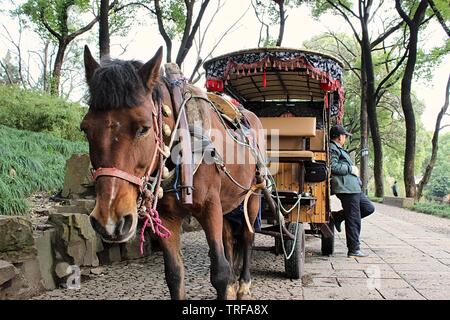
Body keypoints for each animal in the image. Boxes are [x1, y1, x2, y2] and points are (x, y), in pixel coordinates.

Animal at [81, 45, 266, 300]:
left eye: (144, 128)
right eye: (85, 129)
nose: (110, 221)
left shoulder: (210, 206)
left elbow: (219, 272)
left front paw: (229, 282)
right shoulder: (167, 216)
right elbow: (174, 274)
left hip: (253, 194)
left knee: (247, 236)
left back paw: (244, 284)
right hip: (228, 202)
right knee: (229, 237)